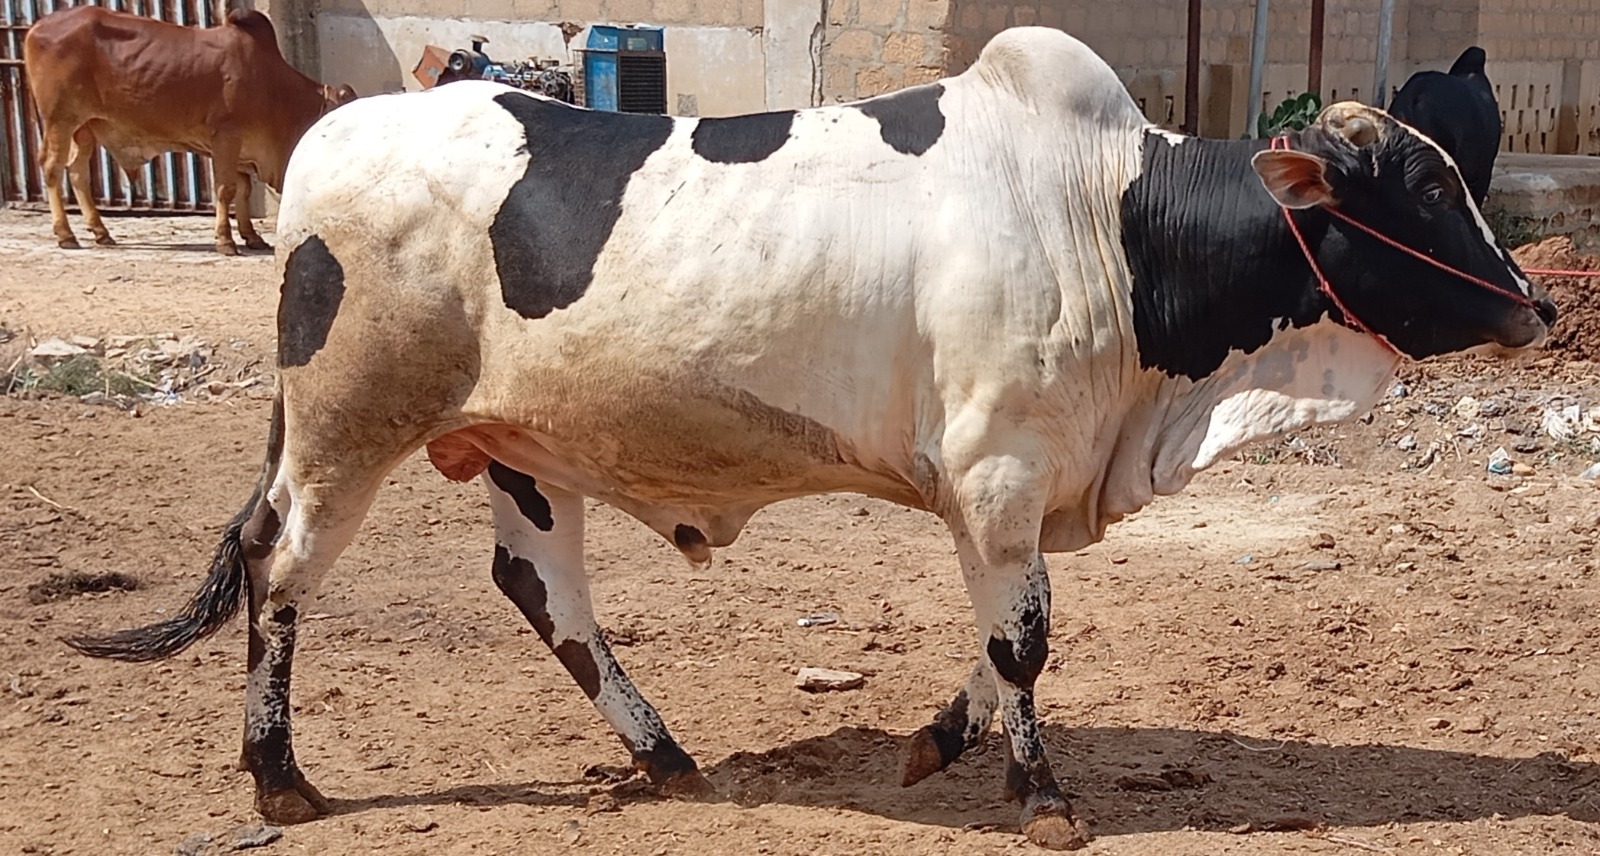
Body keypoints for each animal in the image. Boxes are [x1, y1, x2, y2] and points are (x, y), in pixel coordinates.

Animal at [22, 6, 357, 255]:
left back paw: (100, 232)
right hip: (60, 119)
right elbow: (226, 189)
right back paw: (65, 234)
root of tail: (37, 27)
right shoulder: (225, 136)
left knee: (78, 172)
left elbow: (243, 189)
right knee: (52, 168)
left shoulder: (238, 148)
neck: (273, 86)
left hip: (86, 127)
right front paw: (226, 241)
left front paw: (251, 237)